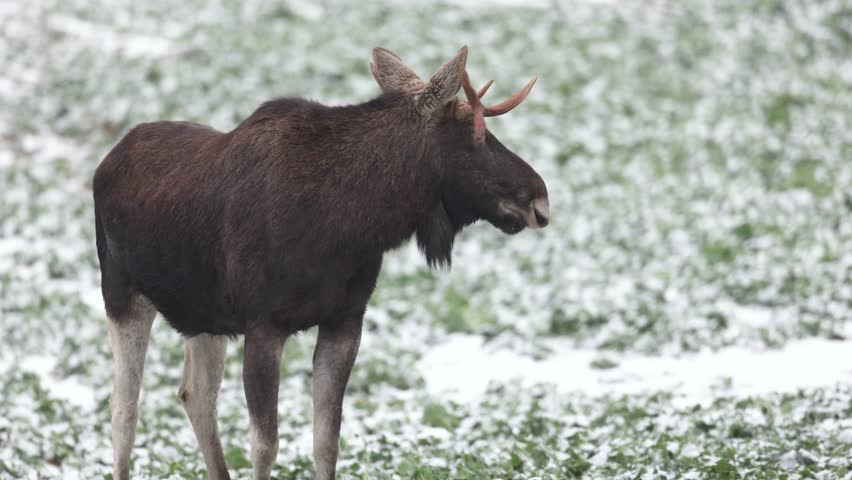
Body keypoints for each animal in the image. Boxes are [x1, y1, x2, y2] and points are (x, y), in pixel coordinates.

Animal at [93, 46, 549, 480]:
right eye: (476, 137)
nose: (540, 199)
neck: (348, 222)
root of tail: (106, 161)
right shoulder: (264, 324)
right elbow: (265, 445)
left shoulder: (344, 320)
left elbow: (327, 441)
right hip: (121, 293)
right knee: (124, 408)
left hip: (202, 316)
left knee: (195, 395)